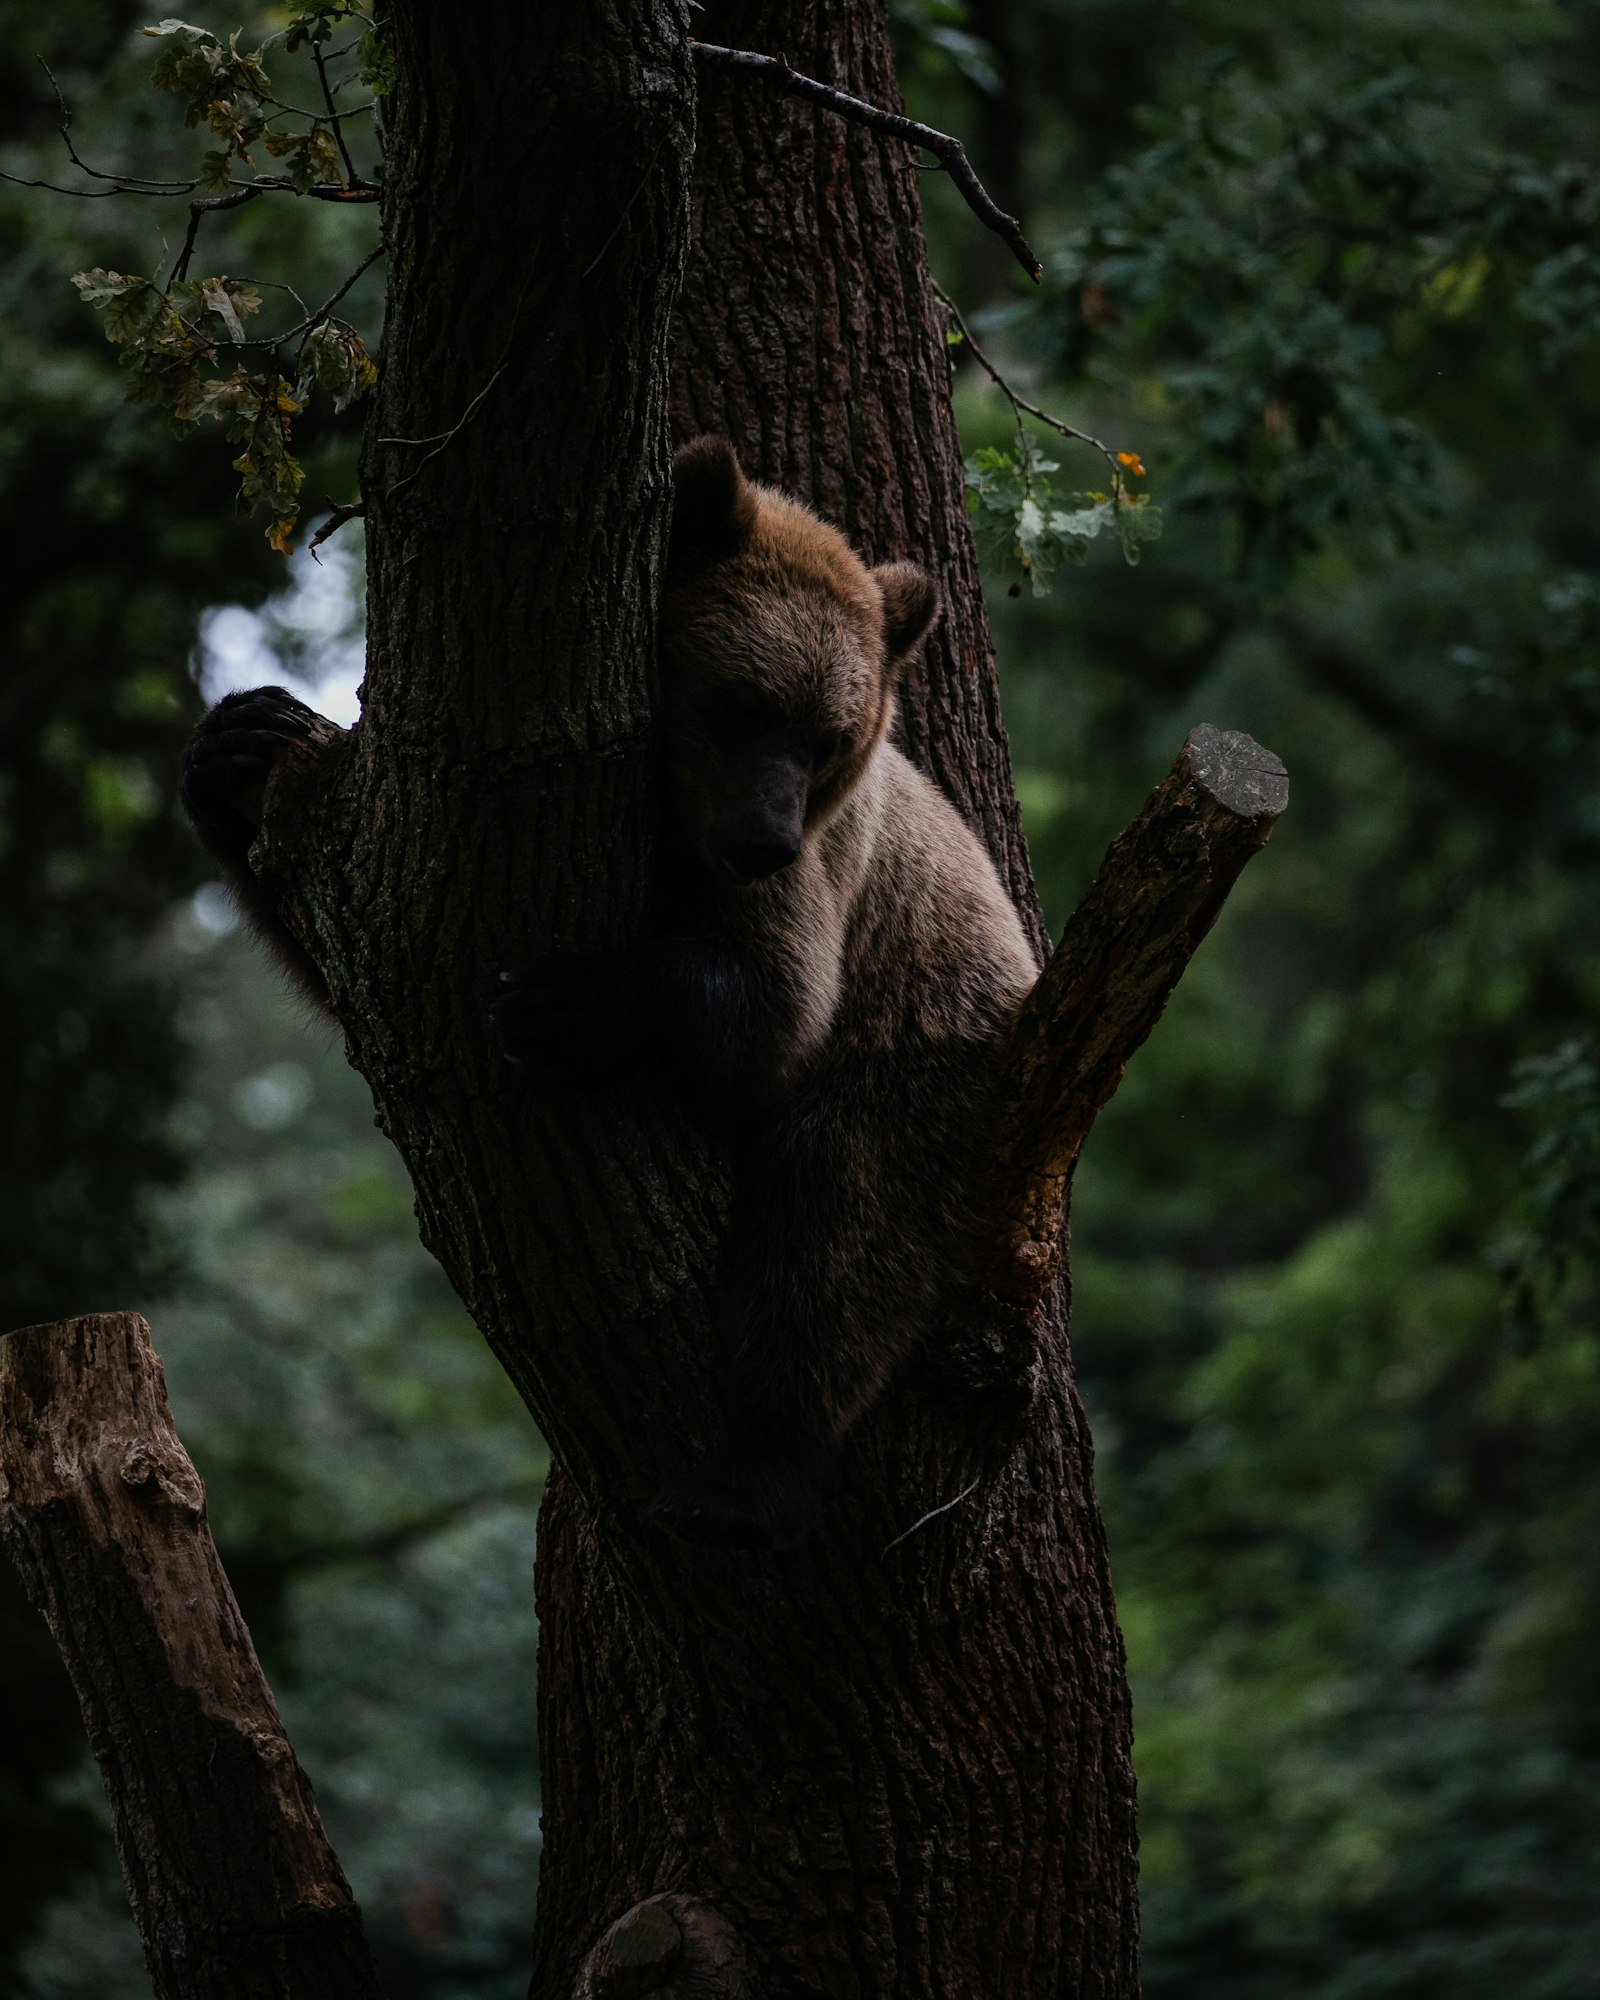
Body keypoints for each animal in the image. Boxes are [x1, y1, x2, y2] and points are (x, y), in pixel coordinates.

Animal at [184, 446, 1040, 1552]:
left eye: (825, 736)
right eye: (745, 703)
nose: (765, 840)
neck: (679, 819)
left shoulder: (817, 894)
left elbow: (774, 1003)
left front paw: (559, 1006)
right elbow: (358, 954)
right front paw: (238, 742)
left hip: (934, 1064)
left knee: (835, 1231)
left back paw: (743, 1481)